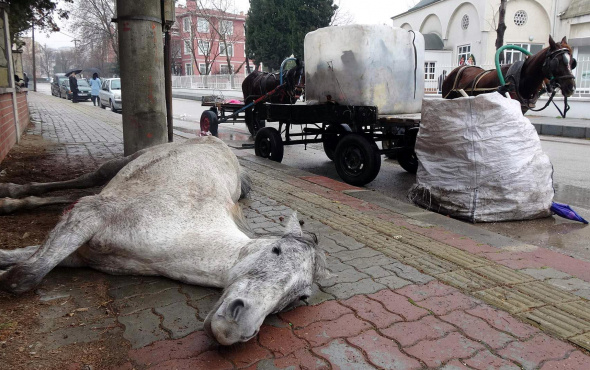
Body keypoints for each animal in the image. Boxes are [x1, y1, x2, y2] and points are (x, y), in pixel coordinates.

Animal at [0, 137, 328, 346]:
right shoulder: (89, 215)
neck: (187, 233)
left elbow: (18, 260)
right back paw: (11, 192)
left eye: (301, 297)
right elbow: (24, 276)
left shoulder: (81, 255)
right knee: (86, 180)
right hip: (121, 165)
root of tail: (215, 140)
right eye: (276, 250)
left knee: (77, 193)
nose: (237, 326)